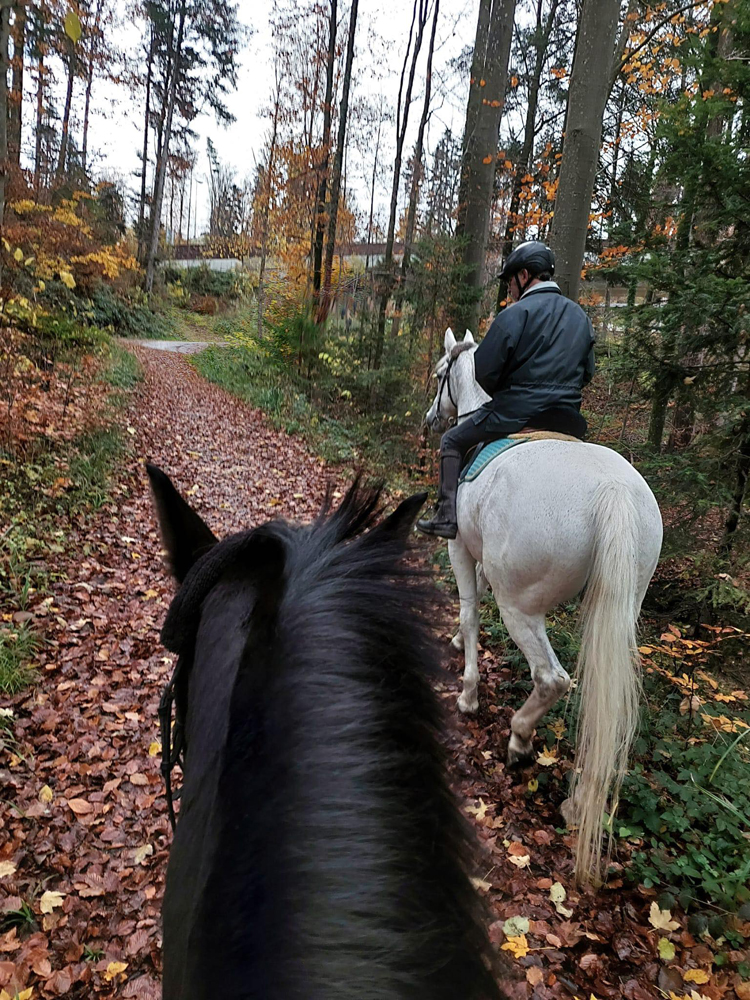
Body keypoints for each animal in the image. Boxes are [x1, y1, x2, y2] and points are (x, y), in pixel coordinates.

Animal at [428, 328, 664, 884]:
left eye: (440, 374)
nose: (430, 420)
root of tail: (612, 489)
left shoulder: (460, 547)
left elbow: (469, 608)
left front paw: (467, 692)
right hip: (617, 609)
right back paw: (579, 802)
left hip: (522, 606)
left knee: (552, 678)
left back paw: (518, 737)